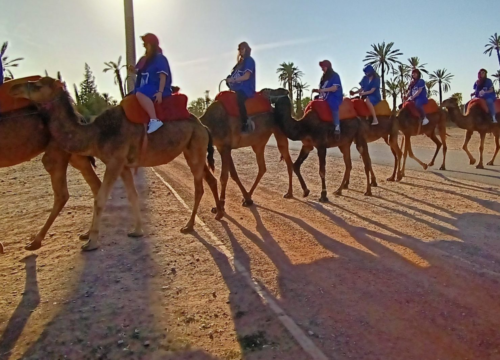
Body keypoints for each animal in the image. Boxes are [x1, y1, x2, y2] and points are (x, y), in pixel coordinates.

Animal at [0, 105, 101, 252]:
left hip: (57, 150)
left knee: (62, 193)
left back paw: (35, 242)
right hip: (75, 153)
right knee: (95, 185)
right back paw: (88, 234)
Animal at [11, 77, 225, 252]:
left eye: (38, 85)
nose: (14, 87)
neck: (95, 135)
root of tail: (202, 125)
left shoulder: (114, 161)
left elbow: (100, 198)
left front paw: (91, 242)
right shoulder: (123, 165)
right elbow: (132, 195)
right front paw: (137, 230)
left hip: (195, 146)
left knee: (199, 186)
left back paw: (189, 225)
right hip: (191, 149)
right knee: (209, 178)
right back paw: (218, 213)